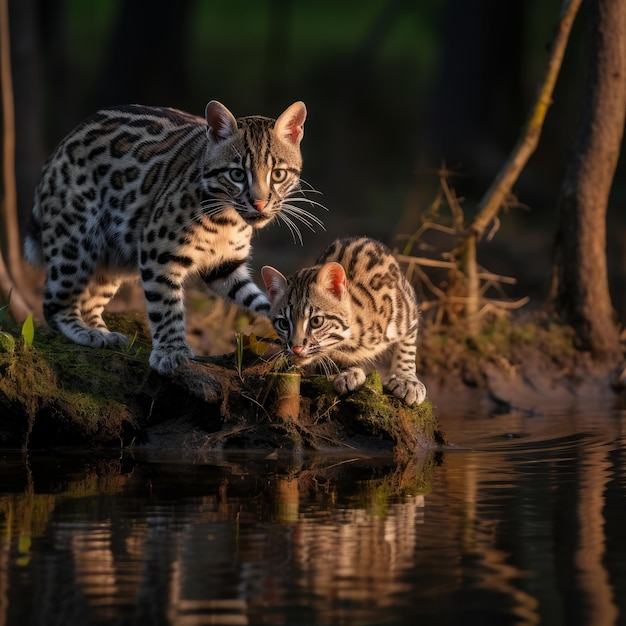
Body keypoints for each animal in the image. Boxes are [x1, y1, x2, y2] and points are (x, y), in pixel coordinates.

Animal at [24, 100, 312, 372]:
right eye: (237, 174)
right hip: (74, 242)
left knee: (91, 299)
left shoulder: (225, 266)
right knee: (53, 304)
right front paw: (170, 351)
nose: (259, 204)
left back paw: (102, 331)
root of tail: (59, 149)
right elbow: (165, 304)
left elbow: (258, 299)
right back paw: (86, 332)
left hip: (112, 258)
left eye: (278, 174)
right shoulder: (158, 251)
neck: (227, 219)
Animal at [260, 235, 426, 404]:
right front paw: (348, 371)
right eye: (284, 324)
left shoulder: (409, 308)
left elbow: (407, 348)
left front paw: (406, 379)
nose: (296, 348)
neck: (354, 337)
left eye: (316, 321)